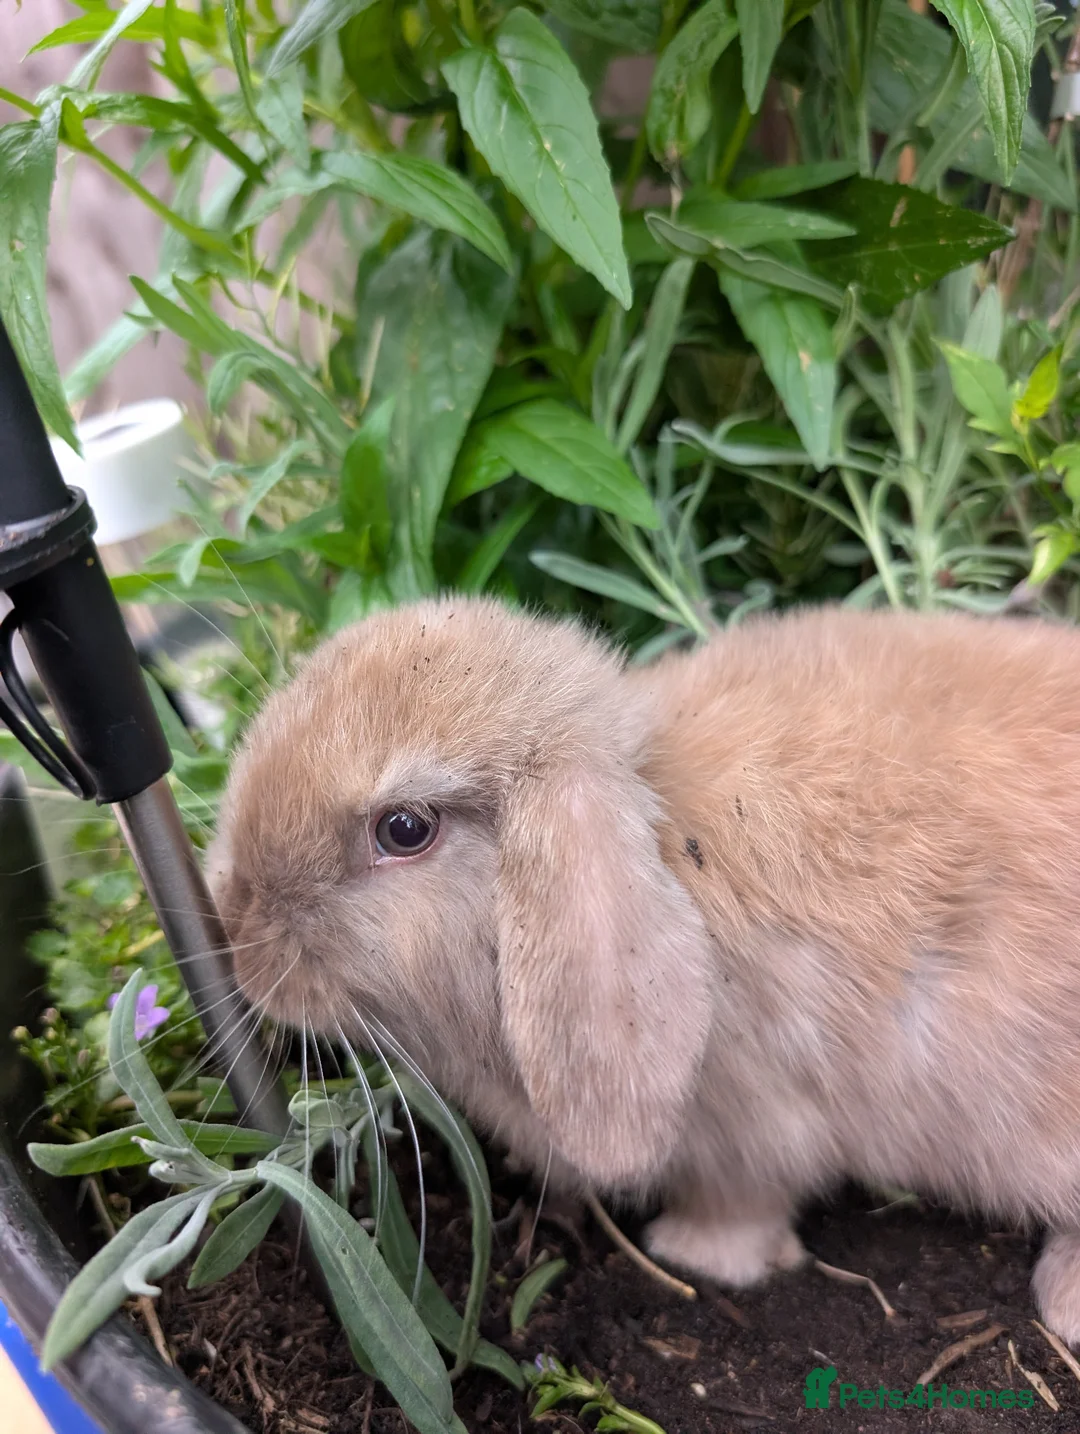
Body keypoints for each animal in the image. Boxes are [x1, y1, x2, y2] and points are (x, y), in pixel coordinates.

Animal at [208, 595, 1080, 1347]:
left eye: (405, 828)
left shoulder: (755, 1135)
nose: (236, 929)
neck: (658, 813)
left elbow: (744, 1208)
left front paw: (690, 1253)